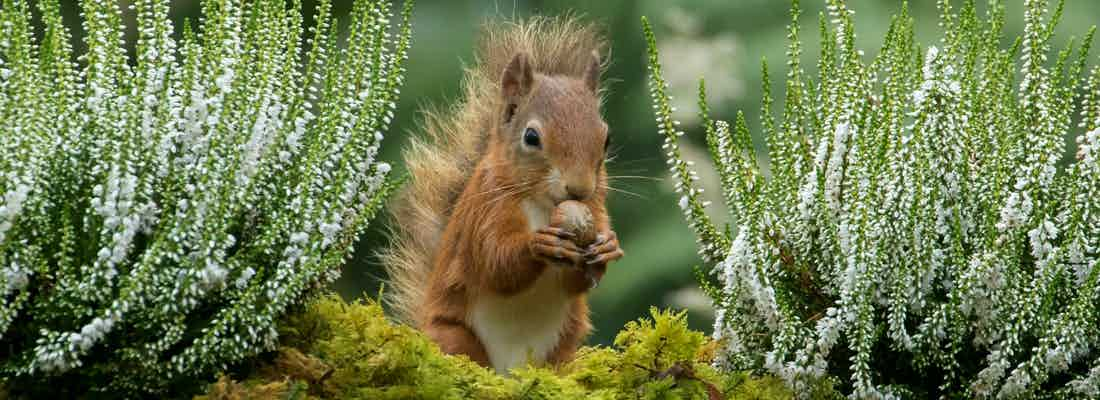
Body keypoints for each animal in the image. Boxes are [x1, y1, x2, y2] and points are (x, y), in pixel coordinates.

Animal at [385, 17, 629, 369]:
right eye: (531, 137)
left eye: (606, 139)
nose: (580, 189)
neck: (544, 205)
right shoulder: (486, 208)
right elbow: (496, 264)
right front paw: (538, 244)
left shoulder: (596, 208)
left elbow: (577, 282)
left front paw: (608, 246)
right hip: (454, 336)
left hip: (564, 346)